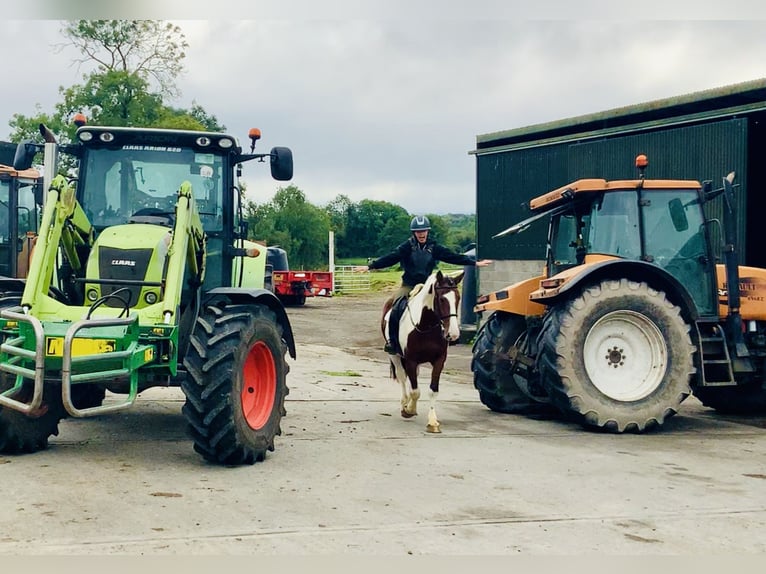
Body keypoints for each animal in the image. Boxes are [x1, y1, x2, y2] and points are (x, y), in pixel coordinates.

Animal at [380, 272, 464, 434]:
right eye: (442, 299)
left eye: (458, 298)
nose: (453, 334)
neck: (426, 326)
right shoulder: (411, 360)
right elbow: (415, 391)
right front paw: (409, 410)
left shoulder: (439, 360)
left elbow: (433, 390)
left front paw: (432, 422)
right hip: (395, 356)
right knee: (402, 378)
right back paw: (404, 403)